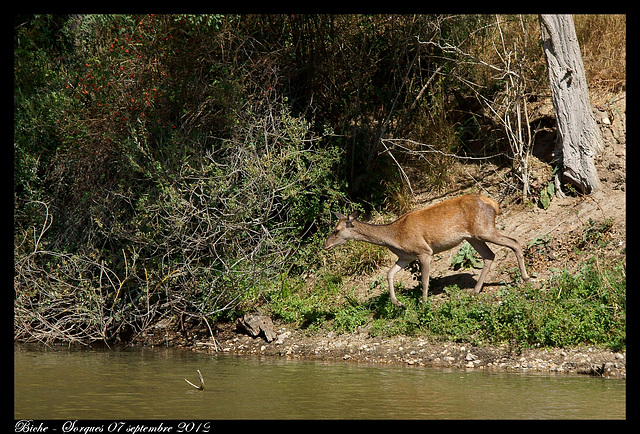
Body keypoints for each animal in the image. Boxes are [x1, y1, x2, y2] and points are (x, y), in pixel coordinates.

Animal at [324, 193, 528, 308]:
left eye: (336, 230)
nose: (325, 245)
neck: (394, 236)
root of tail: (494, 204)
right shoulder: (405, 257)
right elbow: (389, 274)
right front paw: (398, 303)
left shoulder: (424, 251)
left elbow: (424, 281)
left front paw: (423, 303)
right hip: (473, 237)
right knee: (489, 255)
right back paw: (475, 291)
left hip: (484, 229)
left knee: (514, 241)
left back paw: (525, 278)